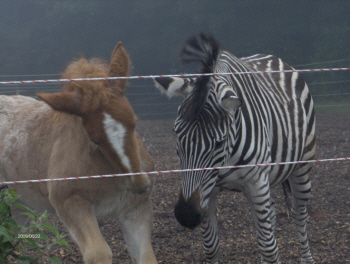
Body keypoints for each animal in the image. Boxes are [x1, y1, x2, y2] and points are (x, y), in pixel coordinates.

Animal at [154, 33, 316, 264]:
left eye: (219, 143)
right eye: (177, 135)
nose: (186, 215)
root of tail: (274, 58)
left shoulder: (256, 182)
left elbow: (269, 248)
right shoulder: (207, 190)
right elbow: (211, 247)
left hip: (301, 168)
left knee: (298, 214)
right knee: (271, 214)